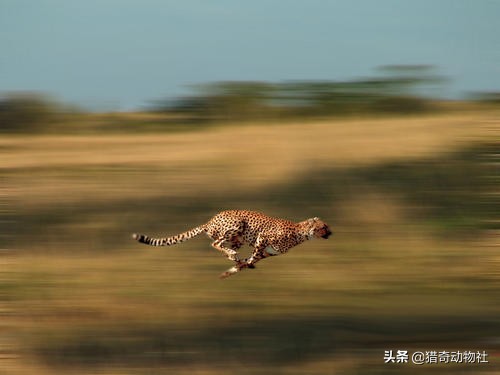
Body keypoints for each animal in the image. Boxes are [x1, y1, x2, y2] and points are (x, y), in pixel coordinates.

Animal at [132, 212, 332, 280]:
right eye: (323, 227)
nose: (331, 233)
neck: (301, 233)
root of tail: (210, 221)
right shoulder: (262, 238)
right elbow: (252, 256)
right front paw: (238, 265)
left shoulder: (266, 253)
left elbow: (250, 260)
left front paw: (233, 270)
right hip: (237, 225)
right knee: (216, 243)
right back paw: (230, 253)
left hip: (239, 238)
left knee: (225, 247)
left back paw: (232, 255)